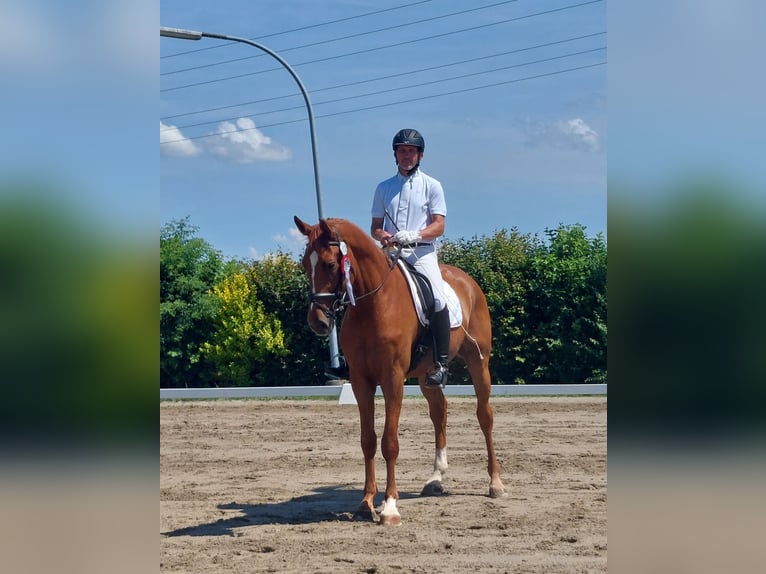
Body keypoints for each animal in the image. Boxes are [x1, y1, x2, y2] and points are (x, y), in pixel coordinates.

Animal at [296, 216, 508, 528]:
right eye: (303, 264)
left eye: (331, 264)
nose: (318, 322)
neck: (373, 303)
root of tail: (466, 280)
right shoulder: (361, 381)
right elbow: (368, 441)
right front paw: (365, 503)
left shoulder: (392, 379)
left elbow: (390, 443)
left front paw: (390, 507)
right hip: (426, 375)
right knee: (439, 412)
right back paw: (436, 478)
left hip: (478, 363)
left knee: (485, 416)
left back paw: (495, 483)